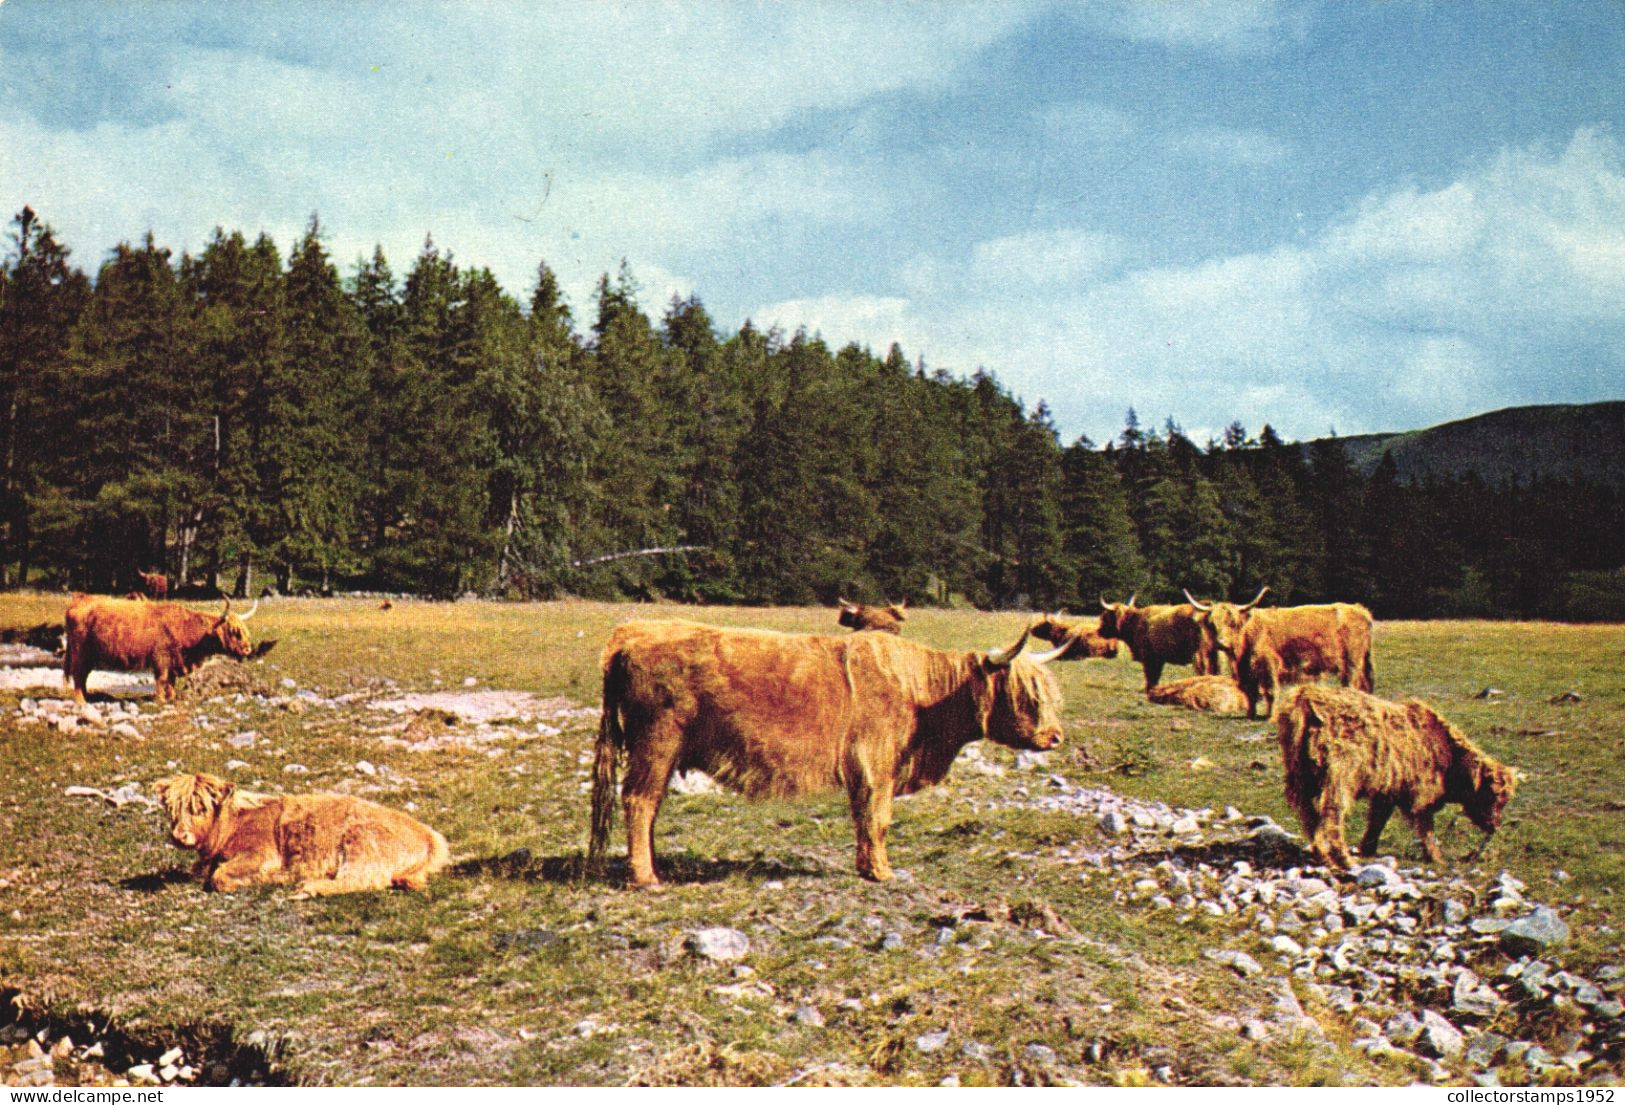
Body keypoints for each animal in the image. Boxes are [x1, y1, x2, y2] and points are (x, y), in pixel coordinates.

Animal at [62, 591, 256, 702]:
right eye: (234, 631)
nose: (248, 649)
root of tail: (79, 600)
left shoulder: (173, 662)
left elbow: (171, 681)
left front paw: (172, 698)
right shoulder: (161, 659)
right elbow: (162, 680)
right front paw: (161, 700)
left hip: (89, 655)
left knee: (84, 676)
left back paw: (87, 697)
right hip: (80, 651)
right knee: (78, 675)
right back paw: (81, 701)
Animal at [591, 620, 1072, 890]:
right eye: (1025, 694)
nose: (1054, 737)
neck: (925, 696)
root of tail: (629, 636)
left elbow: (865, 819)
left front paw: (866, 867)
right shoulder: (876, 763)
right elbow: (878, 818)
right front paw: (881, 872)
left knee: (648, 805)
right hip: (657, 741)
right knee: (640, 801)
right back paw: (645, 876)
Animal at [1092, 594, 1222, 689]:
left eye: (1105, 617)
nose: (1099, 631)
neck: (1135, 622)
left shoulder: (1149, 658)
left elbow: (1151, 676)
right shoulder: (1158, 658)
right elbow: (1155, 676)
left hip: (1200, 654)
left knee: (1204, 671)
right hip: (1212, 652)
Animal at [1189, 591, 1378, 721]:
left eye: (1232, 622)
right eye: (1212, 623)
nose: (1221, 643)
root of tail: (1359, 609)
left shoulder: (1269, 664)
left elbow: (1271, 692)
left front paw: (1270, 717)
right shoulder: (1247, 671)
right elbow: (1250, 692)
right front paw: (1250, 714)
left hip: (1352, 661)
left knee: (1351, 683)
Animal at [1274, 682, 1514, 871]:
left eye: (1505, 799)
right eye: (1493, 794)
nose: (1495, 825)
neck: (1448, 756)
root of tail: (1306, 697)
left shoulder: (1389, 791)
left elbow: (1378, 820)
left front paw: (1368, 848)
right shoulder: (1419, 794)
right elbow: (1426, 827)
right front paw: (1437, 857)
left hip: (1303, 777)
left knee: (1310, 816)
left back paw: (1323, 856)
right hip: (1338, 777)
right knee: (1332, 816)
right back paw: (1344, 860)